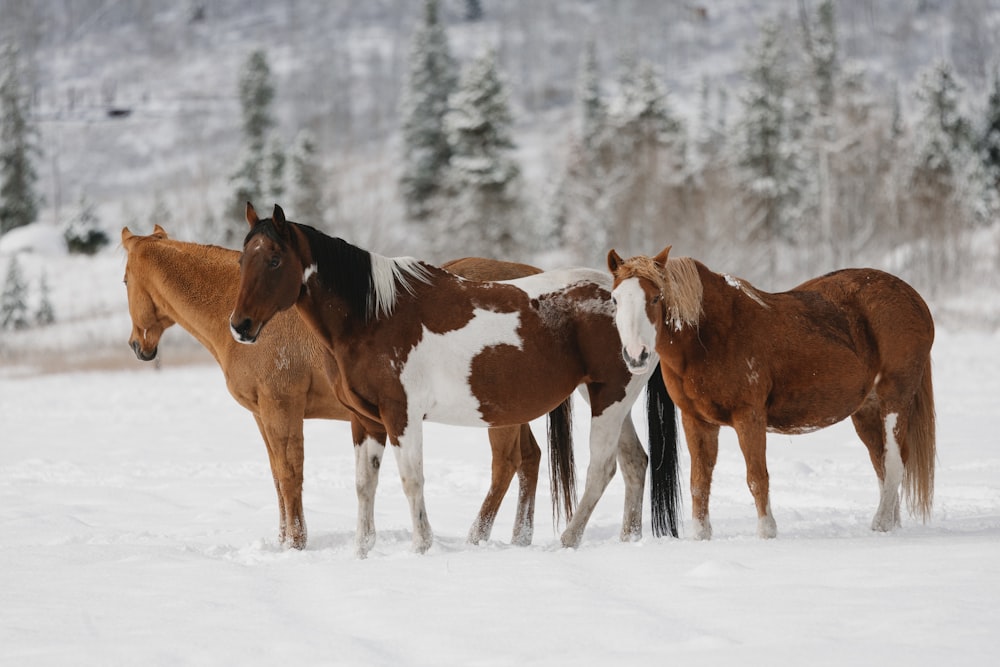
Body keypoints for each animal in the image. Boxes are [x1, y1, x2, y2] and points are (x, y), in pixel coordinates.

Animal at [120, 227, 572, 552]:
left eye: (124, 280)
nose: (137, 347)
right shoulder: (264, 416)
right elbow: (277, 476)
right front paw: (284, 541)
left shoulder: (282, 409)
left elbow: (291, 474)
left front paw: (295, 545)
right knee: (530, 459)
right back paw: (518, 538)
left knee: (506, 464)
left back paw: (476, 538)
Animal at [227, 201, 680, 556]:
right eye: (242, 260)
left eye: (274, 259)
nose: (240, 325)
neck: (374, 316)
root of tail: (633, 293)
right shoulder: (365, 420)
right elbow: (364, 485)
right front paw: (362, 552)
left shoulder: (401, 416)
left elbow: (411, 480)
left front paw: (422, 547)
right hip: (605, 398)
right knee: (635, 463)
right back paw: (628, 540)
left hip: (609, 399)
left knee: (602, 468)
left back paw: (568, 540)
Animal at [608, 248, 936, 540]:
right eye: (614, 299)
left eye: (655, 297)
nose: (636, 356)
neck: (710, 336)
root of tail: (913, 298)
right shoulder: (696, 420)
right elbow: (699, 482)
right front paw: (701, 536)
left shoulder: (749, 416)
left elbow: (757, 477)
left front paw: (767, 533)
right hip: (867, 410)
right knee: (882, 464)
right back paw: (891, 522)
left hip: (895, 398)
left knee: (894, 462)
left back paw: (881, 523)